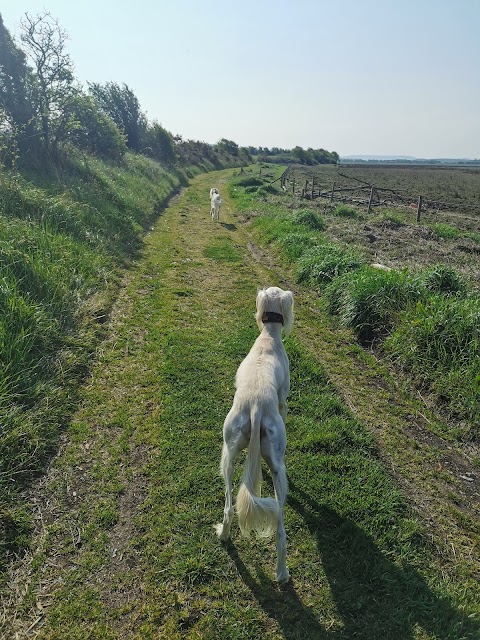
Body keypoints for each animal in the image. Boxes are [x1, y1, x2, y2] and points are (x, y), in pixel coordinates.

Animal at [216, 288, 294, 584]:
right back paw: (282, 574)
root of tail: (256, 406)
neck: (268, 339)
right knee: (281, 529)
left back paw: (223, 534)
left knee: (229, 506)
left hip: (228, 452)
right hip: (277, 466)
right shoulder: (283, 401)